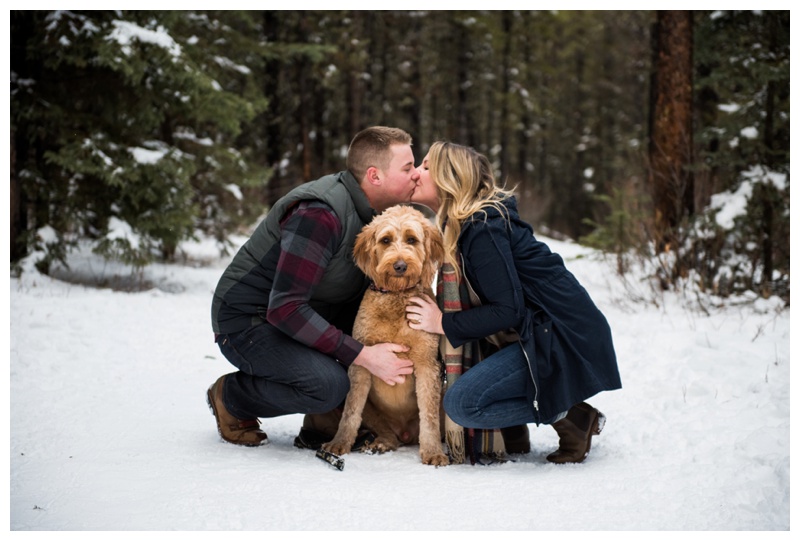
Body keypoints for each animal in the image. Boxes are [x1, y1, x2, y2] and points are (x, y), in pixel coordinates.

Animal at [324, 202, 450, 464]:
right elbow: (350, 412)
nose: (400, 266)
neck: (396, 296)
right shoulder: (360, 365)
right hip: (372, 410)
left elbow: (429, 417)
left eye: (412, 239)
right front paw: (339, 443)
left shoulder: (427, 365)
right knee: (386, 433)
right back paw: (380, 443)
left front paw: (433, 452)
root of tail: (405, 433)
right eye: (385, 240)